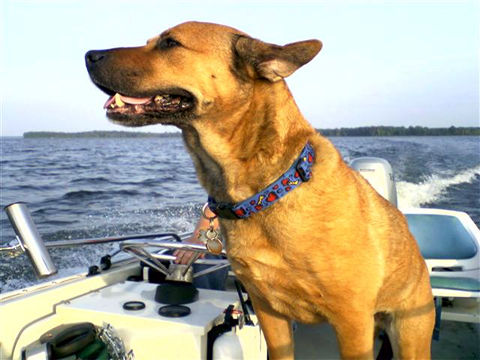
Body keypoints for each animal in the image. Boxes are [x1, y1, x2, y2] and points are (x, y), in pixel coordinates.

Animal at [85, 21, 436, 358]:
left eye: (171, 43)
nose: (89, 54)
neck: (267, 190)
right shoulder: (269, 312)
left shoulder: (351, 322)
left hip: (411, 336)